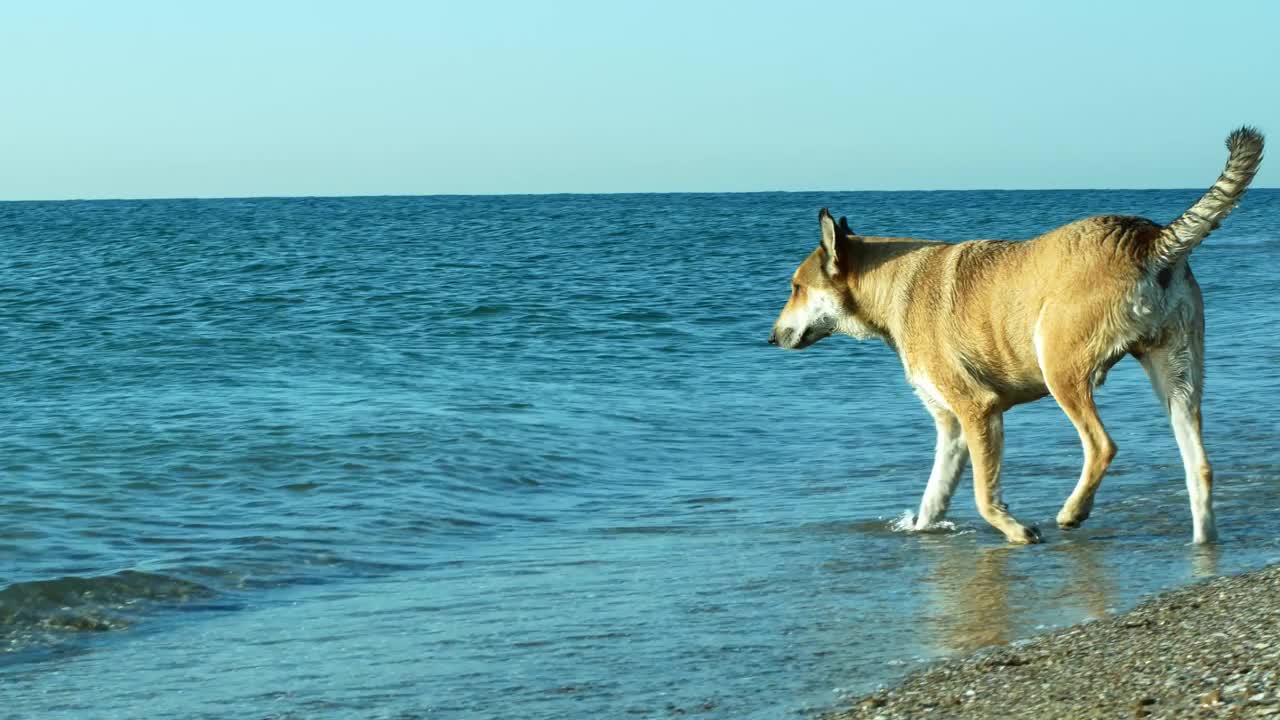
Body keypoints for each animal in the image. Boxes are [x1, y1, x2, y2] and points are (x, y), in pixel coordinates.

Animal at [768, 130, 1259, 543]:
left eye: (795, 287)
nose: (772, 338)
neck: (890, 287)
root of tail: (1148, 240)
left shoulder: (978, 410)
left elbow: (983, 495)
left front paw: (1016, 530)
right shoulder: (951, 426)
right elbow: (933, 497)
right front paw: (921, 532)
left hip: (1061, 371)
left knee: (1102, 447)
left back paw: (1073, 512)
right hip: (1177, 379)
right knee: (1200, 468)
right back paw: (1201, 545)